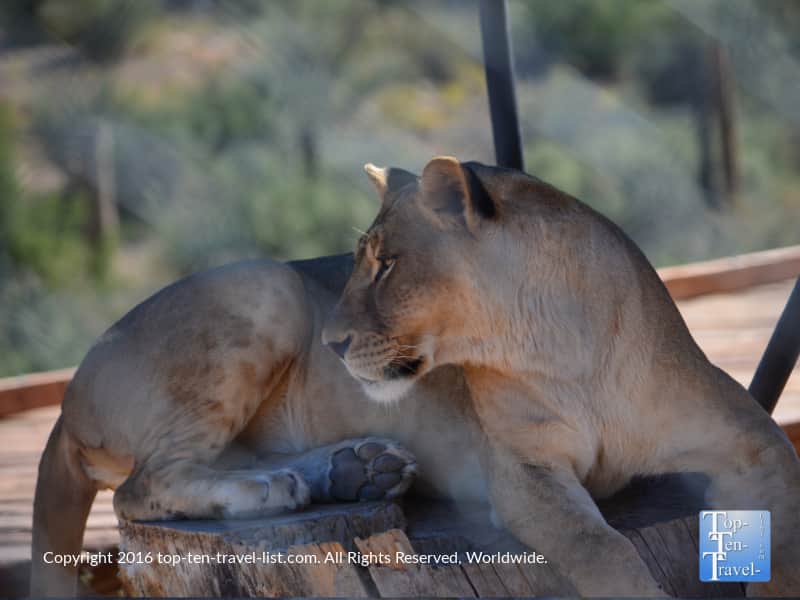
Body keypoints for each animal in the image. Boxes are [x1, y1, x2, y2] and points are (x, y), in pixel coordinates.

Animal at [32, 156, 800, 597]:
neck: (564, 349)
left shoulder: (754, 442)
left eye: (387, 264)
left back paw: (353, 471)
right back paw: (275, 487)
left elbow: (783, 533)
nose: (332, 342)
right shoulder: (522, 473)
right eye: (357, 261)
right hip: (263, 284)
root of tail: (67, 399)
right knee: (141, 486)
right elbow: (601, 548)